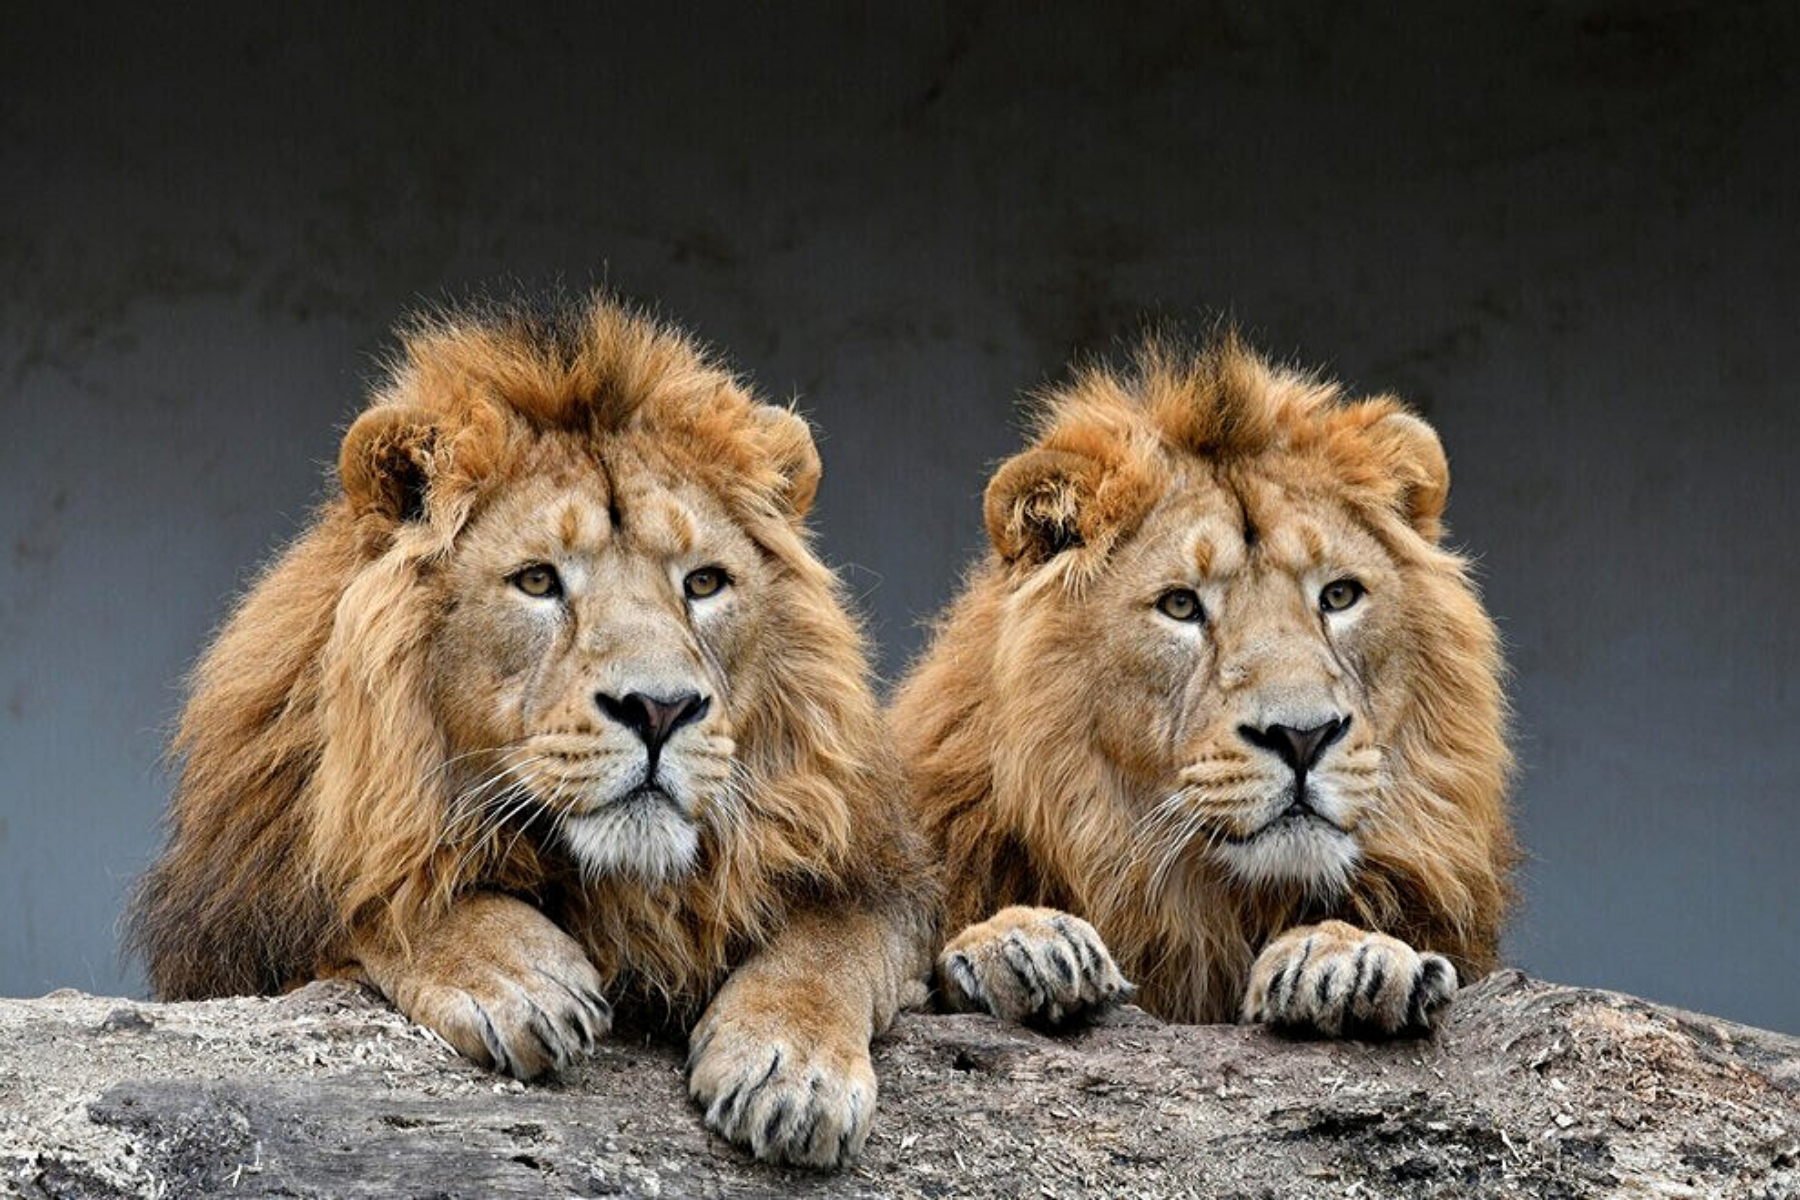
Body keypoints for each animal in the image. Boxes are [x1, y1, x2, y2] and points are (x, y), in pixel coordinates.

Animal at [126, 294, 938, 1168]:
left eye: (704, 583)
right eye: (540, 580)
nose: (660, 709)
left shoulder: (875, 873)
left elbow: (841, 936)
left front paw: (794, 1066)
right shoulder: (239, 924)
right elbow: (374, 891)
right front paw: (517, 974)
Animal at [893, 332, 1517, 1038]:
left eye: (1338, 595)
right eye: (1181, 606)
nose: (1303, 738)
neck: (1209, 912)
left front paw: (1349, 954)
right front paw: (1019, 942)